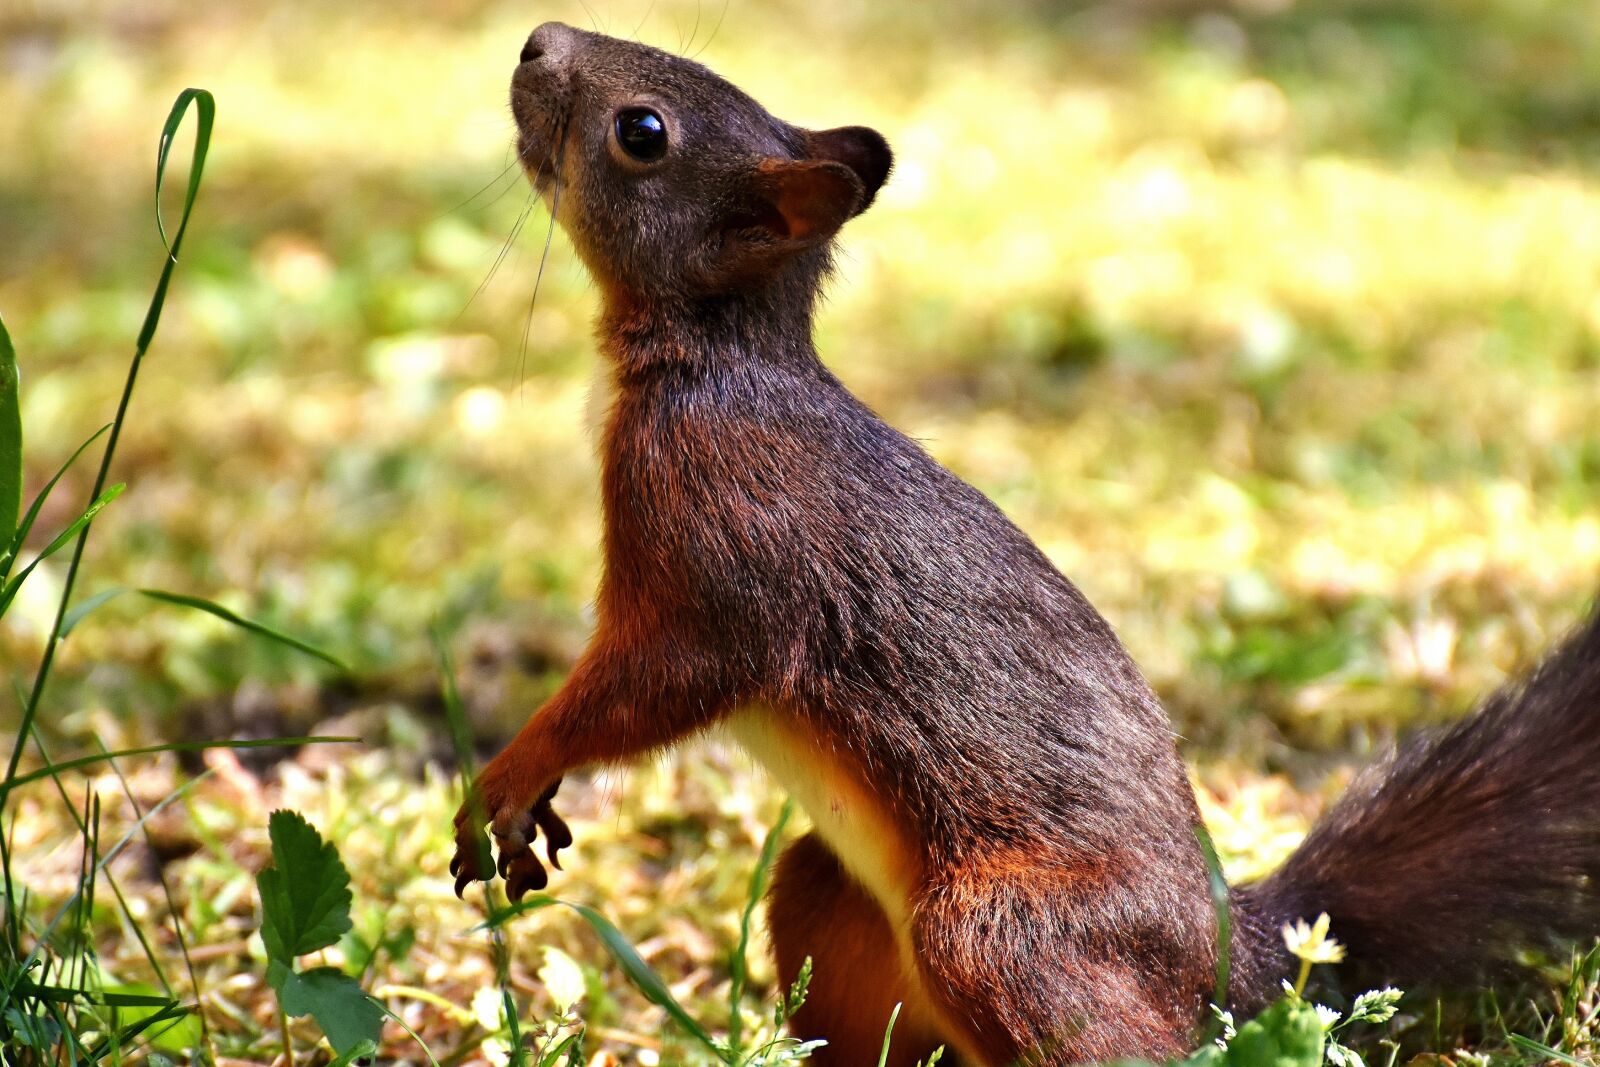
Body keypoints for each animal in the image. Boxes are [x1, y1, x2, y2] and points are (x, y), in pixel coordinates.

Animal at [450, 22, 1600, 1066]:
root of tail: (1227, 959)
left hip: (1000, 933)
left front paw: (510, 771)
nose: (537, 40)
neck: (717, 363)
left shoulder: (723, 533)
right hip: (832, 900)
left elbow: (666, 674)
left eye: (642, 131)